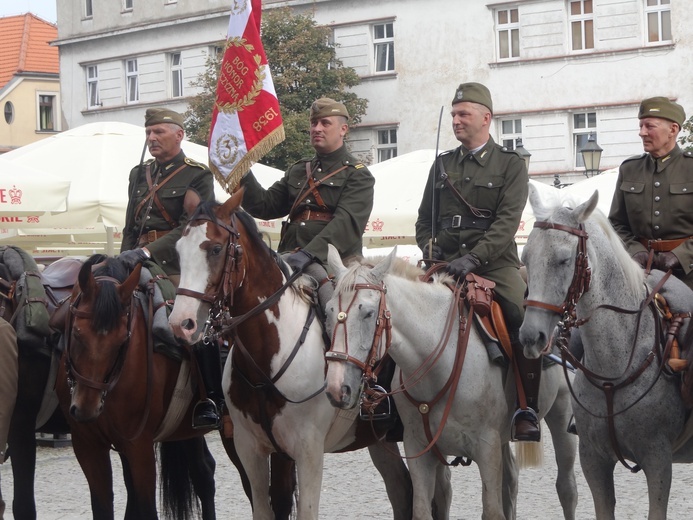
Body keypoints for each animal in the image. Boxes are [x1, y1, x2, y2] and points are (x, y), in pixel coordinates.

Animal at [55, 256, 227, 520]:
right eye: (76, 333)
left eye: (121, 340)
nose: (85, 408)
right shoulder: (88, 446)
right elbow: (106, 506)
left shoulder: (140, 447)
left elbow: (145, 507)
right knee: (203, 473)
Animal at [168, 192, 448, 520]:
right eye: (178, 251)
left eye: (215, 248)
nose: (181, 322)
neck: (267, 359)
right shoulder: (251, 450)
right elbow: (268, 507)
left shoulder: (308, 452)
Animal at [324, 245, 580, 520]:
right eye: (328, 311)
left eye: (369, 313)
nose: (337, 387)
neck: (439, 362)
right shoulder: (419, 449)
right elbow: (423, 509)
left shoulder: (487, 448)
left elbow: (491, 510)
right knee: (511, 481)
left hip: (562, 414)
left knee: (566, 488)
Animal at [520, 187, 693, 520]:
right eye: (525, 258)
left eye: (563, 259)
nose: (530, 336)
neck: (614, 367)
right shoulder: (593, 460)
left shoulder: (658, 461)